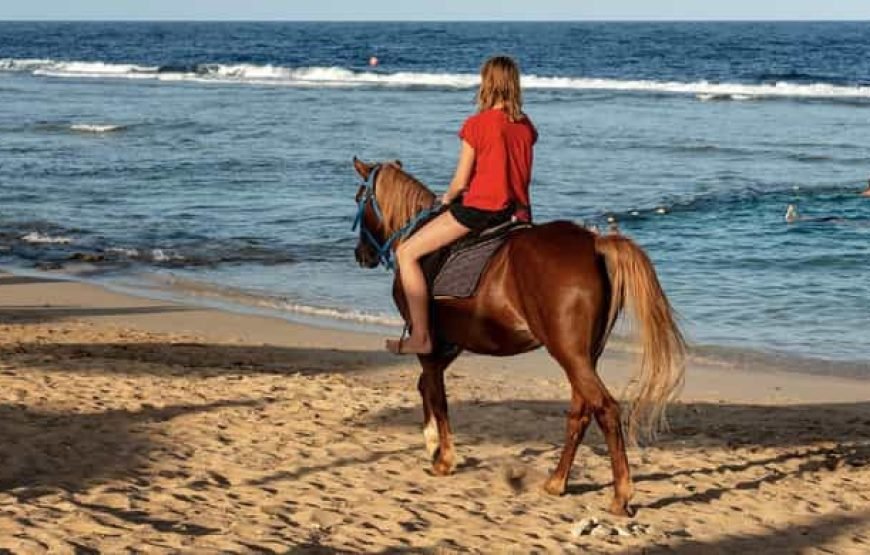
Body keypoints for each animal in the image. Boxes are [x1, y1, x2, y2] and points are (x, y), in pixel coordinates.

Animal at [351, 158, 686, 516]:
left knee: (605, 409)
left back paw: (620, 495)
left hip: (568, 352)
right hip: (584, 355)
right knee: (581, 412)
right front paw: (434, 446)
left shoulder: (427, 340)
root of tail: (594, 244)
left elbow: (435, 392)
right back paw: (557, 482)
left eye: (359, 197)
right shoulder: (451, 343)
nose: (361, 255)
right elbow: (427, 385)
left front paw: (441, 456)